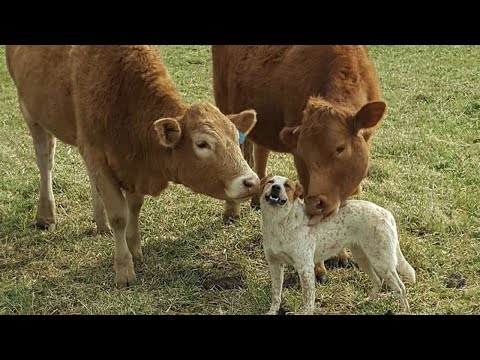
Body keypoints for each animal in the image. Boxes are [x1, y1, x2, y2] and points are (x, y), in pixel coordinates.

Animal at [5, 45, 260, 286]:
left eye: (236, 138)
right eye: (202, 143)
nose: (251, 181)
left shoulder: (131, 165)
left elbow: (134, 207)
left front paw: (134, 246)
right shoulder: (96, 152)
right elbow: (119, 215)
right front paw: (124, 269)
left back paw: (100, 222)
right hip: (31, 113)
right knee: (45, 160)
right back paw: (46, 215)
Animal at [213, 45, 386, 282]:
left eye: (340, 148)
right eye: (304, 153)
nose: (318, 202)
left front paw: (340, 254)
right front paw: (319, 267)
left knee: (260, 150)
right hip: (225, 107)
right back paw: (231, 211)